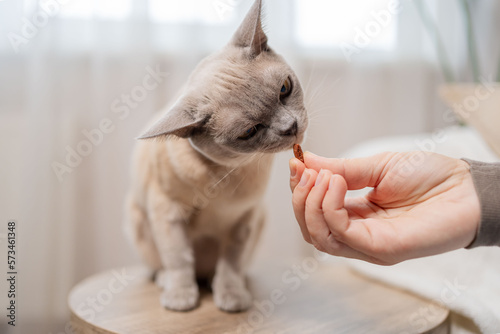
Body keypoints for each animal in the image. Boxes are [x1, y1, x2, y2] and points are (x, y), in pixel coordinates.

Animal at [125, 0, 308, 314]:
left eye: (285, 89)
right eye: (249, 131)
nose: (291, 127)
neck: (226, 178)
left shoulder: (244, 219)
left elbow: (231, 263)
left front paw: (231, 297)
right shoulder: (167, 212)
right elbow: (179, 258)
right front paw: (181, 300)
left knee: (222, 270)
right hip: (136, 218)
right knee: (162, 267)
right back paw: (168, 283)